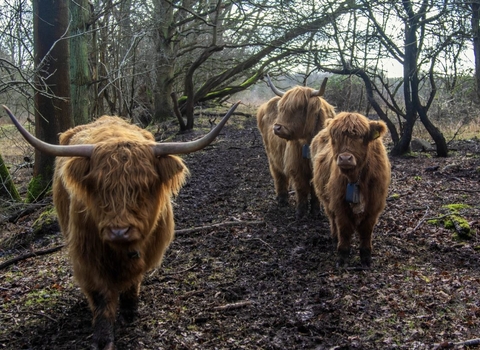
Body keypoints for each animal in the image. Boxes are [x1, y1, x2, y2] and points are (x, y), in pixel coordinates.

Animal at [1, 102, 238, 350]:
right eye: (99, 187)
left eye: (144, 186)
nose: (119, 231)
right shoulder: (87, 256)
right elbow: (101, 296)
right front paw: (103, 338)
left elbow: (133, 280)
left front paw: (130, 310)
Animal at [310, 112, 392, 268]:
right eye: (335, 137)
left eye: (360, 136)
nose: (345, 158)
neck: (356, 179)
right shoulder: (339, 203)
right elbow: (344, 228)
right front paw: (342, 256)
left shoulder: (374, 205)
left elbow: (366, 230)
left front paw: (366, 257)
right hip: (327, 200)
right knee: (332, 219)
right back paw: (335, 238)